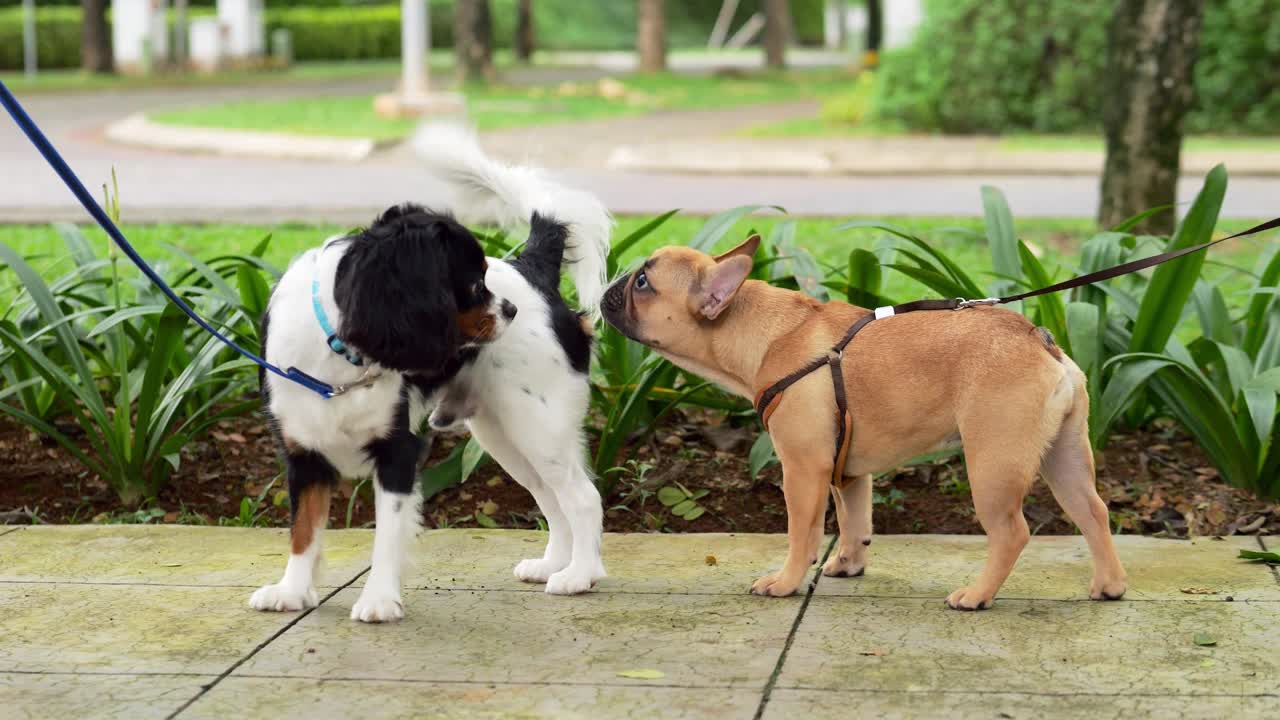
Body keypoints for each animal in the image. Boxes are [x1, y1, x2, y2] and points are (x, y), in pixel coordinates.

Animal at [252, 126, 611, 620]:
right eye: (475, 284)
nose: (510, 310)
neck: (338, 356)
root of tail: (534, 273)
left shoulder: (399, 451)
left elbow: (386, 537)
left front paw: (379, 600)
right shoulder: (303, 455)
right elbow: (303, 531)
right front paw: (292, 591)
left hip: (537, 427)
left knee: (582, 497)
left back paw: (580, 575)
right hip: (505, 436)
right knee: (551, 497)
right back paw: (553, 564)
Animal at [596, 235, 1121, 604]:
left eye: (643, 284)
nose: (610, 283)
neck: (758, 333)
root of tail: (1037, 337)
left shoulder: (802, 469)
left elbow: (802, 532)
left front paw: (786, 582)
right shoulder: (845, 469)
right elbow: (853, 519)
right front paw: (848, 564)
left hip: (993, 464)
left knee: (1012, 532)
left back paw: (976, 596)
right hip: (1064, 458)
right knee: (1094, 512)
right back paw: (1109, 586)